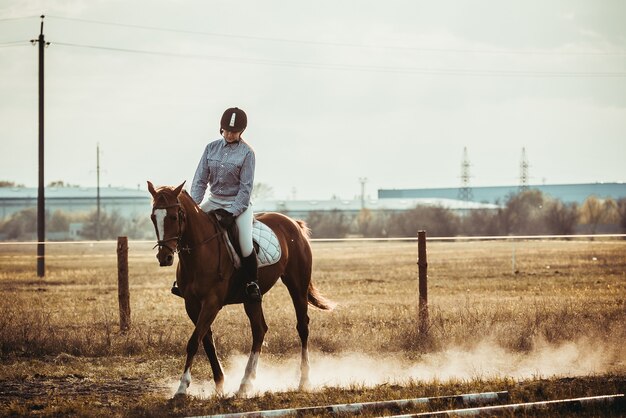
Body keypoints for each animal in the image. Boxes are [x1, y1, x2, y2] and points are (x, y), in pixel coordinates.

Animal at [146, 182, 334, 396]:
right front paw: (219, 383)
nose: (165, 257)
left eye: (173, 217)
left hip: (297, 286)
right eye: (153, 217)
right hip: (251, 298)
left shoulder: (212, 302)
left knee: (302, 327)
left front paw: (182, 387)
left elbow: (194, 341)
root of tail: (293, 223)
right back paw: (246, 382)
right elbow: (206, 340)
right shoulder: (192, 304)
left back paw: (303, 380)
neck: (200, 252)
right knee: (259, 330)